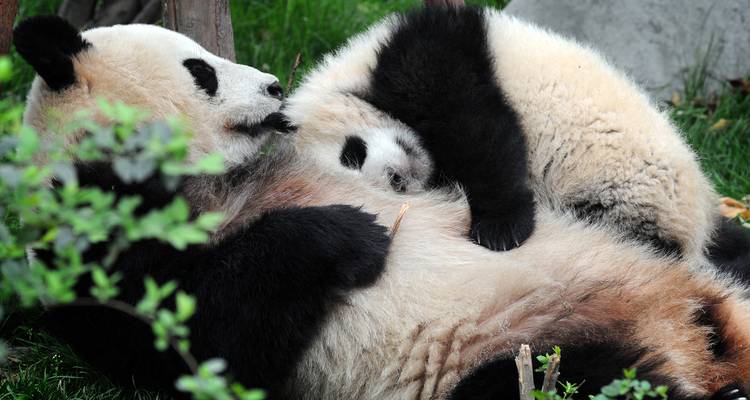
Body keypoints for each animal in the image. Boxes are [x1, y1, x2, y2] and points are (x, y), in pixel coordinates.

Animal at [287, 5, 718, 262]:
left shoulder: (426, 55)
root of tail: (695, 231)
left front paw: (500, 230)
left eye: (352, 154)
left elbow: (480, 133)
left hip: (636, 187)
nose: (397, 179)